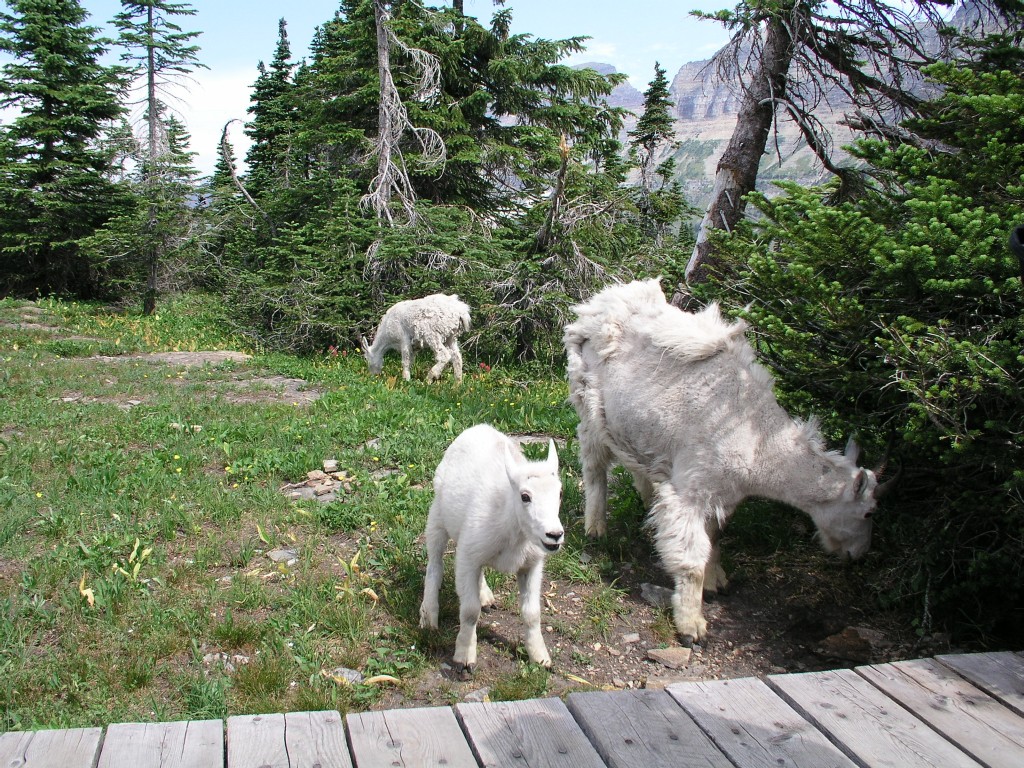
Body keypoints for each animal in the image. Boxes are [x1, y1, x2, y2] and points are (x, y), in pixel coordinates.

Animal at [565, 280, 884, 647]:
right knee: (595, 468)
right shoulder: (692, 492)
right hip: (589, 408)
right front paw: (692, 626)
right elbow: (691, 559)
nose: (859, 555)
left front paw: (717, 580)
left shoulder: (723, 495)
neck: (759, 443)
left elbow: (715, 536)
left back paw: (647, 502)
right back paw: (596, 527)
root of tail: (597, 304)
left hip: (631, 426)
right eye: (869, 512)